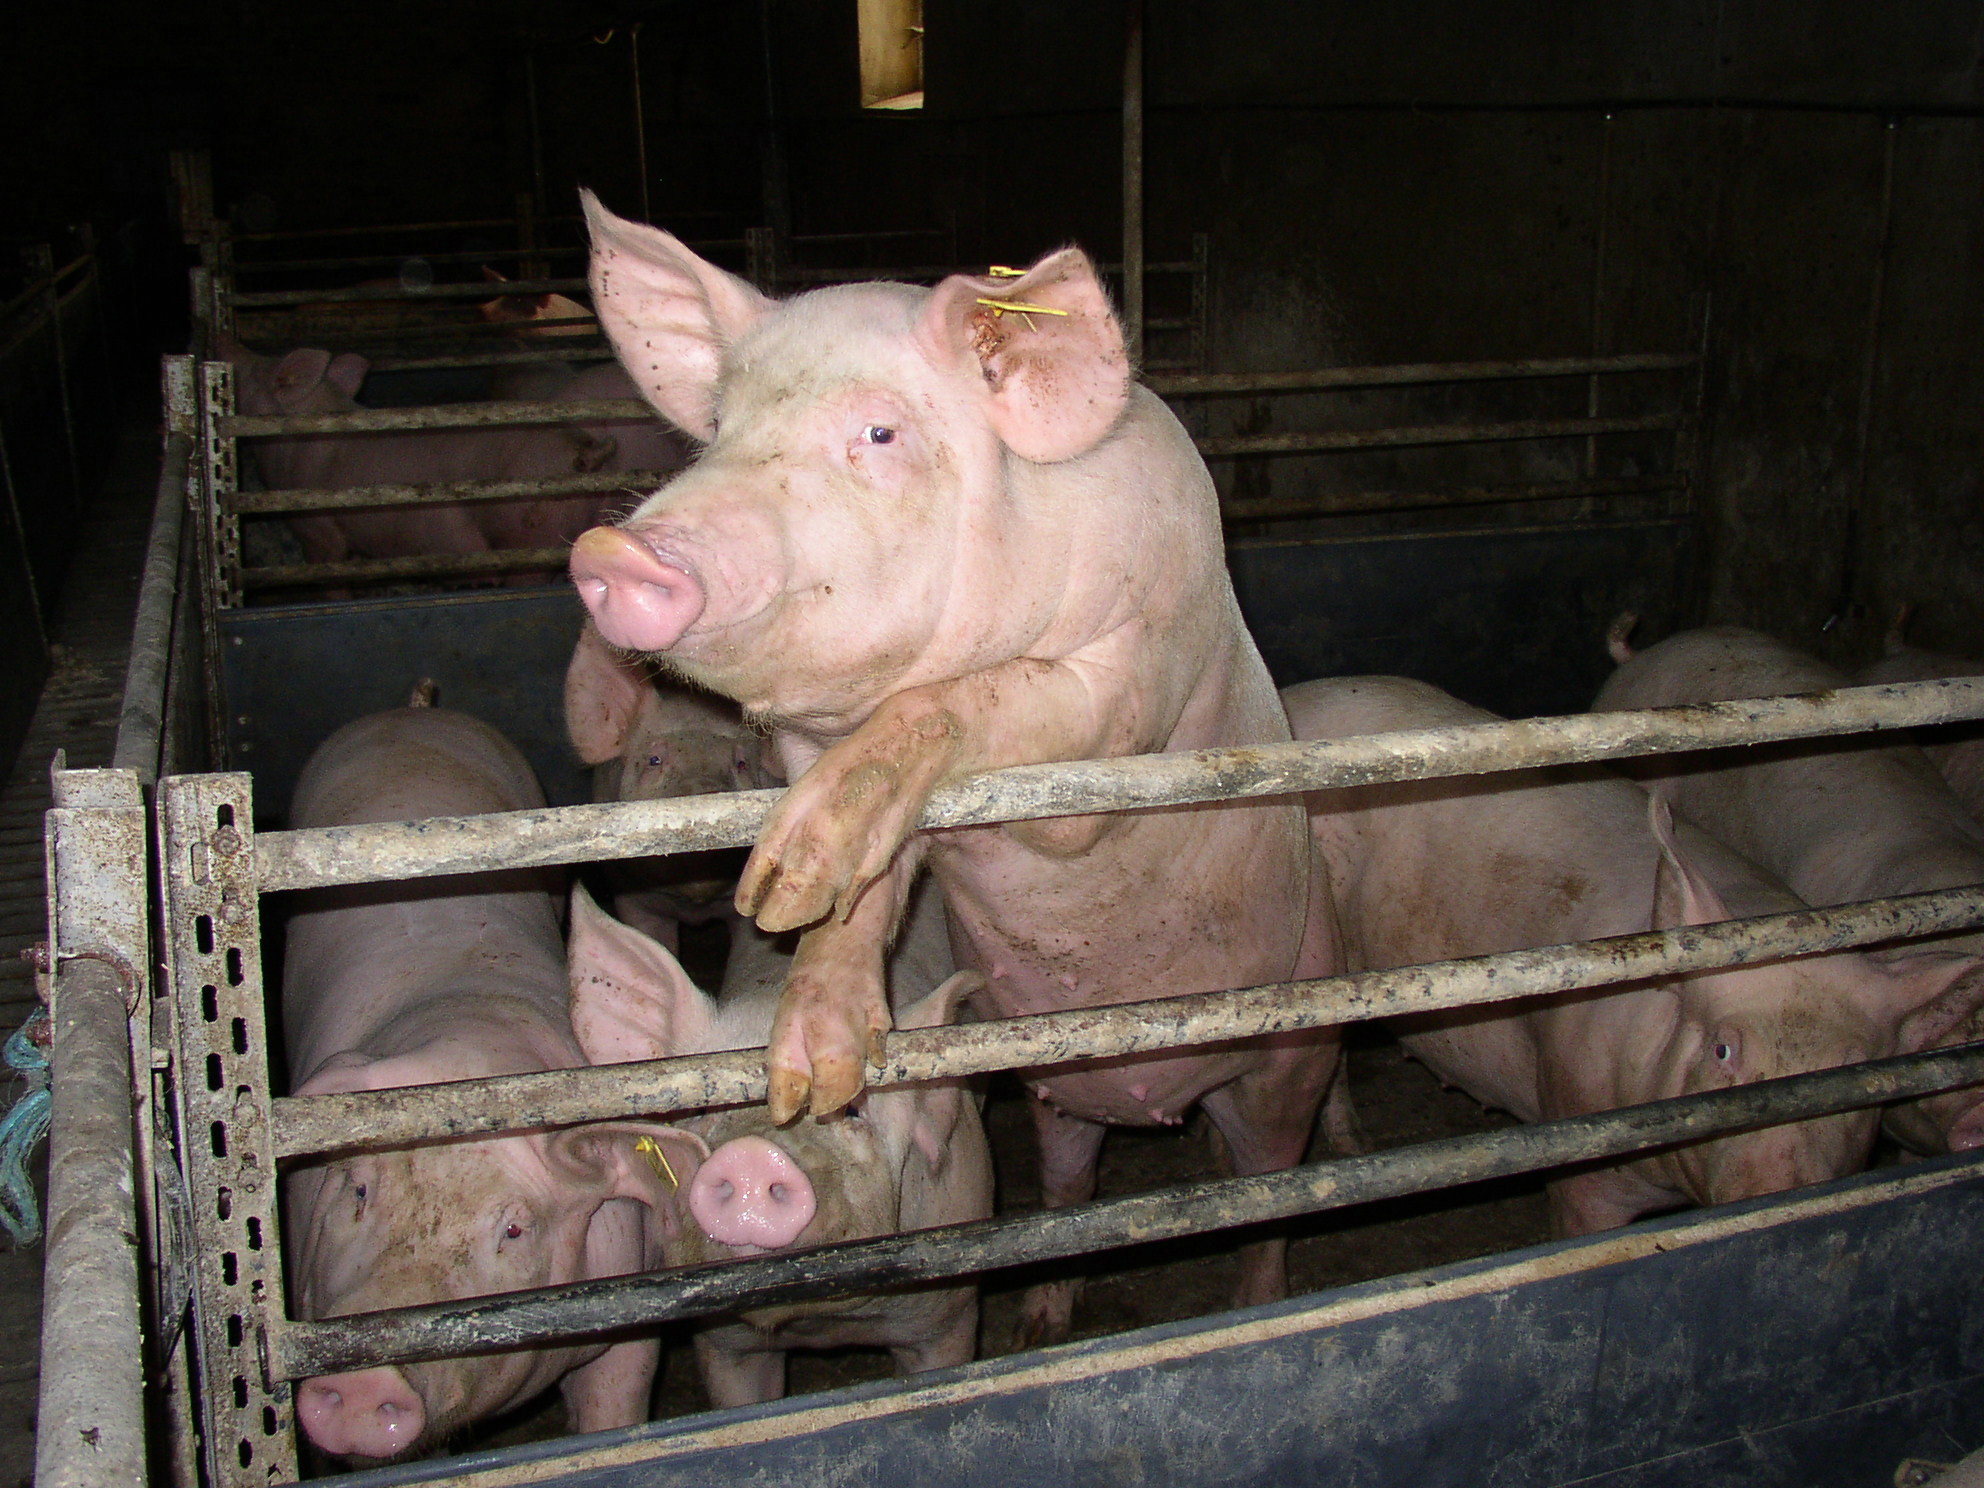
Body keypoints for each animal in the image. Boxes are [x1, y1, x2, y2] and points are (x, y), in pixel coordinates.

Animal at [283, 700, 675, 1460]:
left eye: (514, 1230)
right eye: (359, 1191)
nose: (370, 1382)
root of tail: (414, 710)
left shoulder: (631, 1305)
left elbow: (618, 1404)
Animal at [566, 873, 990, 1406]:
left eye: (850, 1108)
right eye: (703, 1106)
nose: (751, 1154)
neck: (819, 1326)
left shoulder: (948, 1317)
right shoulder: (724, 1344)